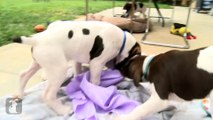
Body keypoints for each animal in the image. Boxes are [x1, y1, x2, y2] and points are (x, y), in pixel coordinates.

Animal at [12, 20, 141, 115]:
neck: (122, 39)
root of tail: (37, 39)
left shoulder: (77, 60)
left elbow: (78, 72)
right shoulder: (96, 63)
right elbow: (95, 82)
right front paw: (95, 92)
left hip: (38, 63)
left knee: (24, 75)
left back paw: (20, 95)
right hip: (59, 71)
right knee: (48, 95)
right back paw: (62, 110)